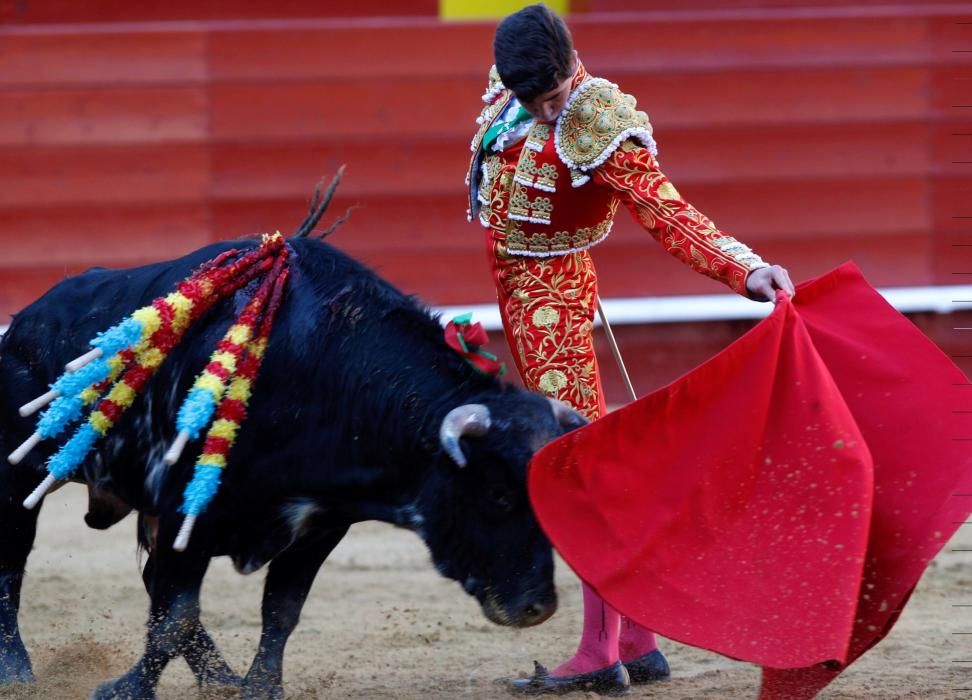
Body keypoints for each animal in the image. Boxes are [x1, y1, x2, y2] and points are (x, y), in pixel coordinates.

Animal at [0, 237, 584, 700]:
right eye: (499, 496)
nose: (539, 607)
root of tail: (25, 321)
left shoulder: (321, 524)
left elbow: (280, 609)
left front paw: (260, 688)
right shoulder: (189, 512)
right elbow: (174, 615)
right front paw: (123, 691)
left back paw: (219, 678)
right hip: (19, 477)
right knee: (14, 567)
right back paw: (17, 671)